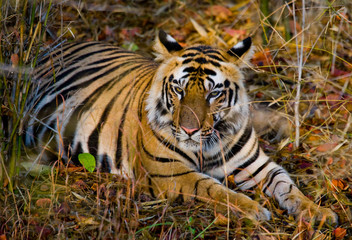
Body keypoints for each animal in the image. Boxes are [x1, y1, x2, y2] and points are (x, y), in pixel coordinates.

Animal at [23, 30, 336, 223]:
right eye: (179, 90)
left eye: (214, 93)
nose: (189, 131)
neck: (208, 144)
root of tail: (53, 43)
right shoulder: (171, 172)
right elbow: (213, 189)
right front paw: (253, 209)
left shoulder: (256, 166)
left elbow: (287, 184)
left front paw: (318, 212)